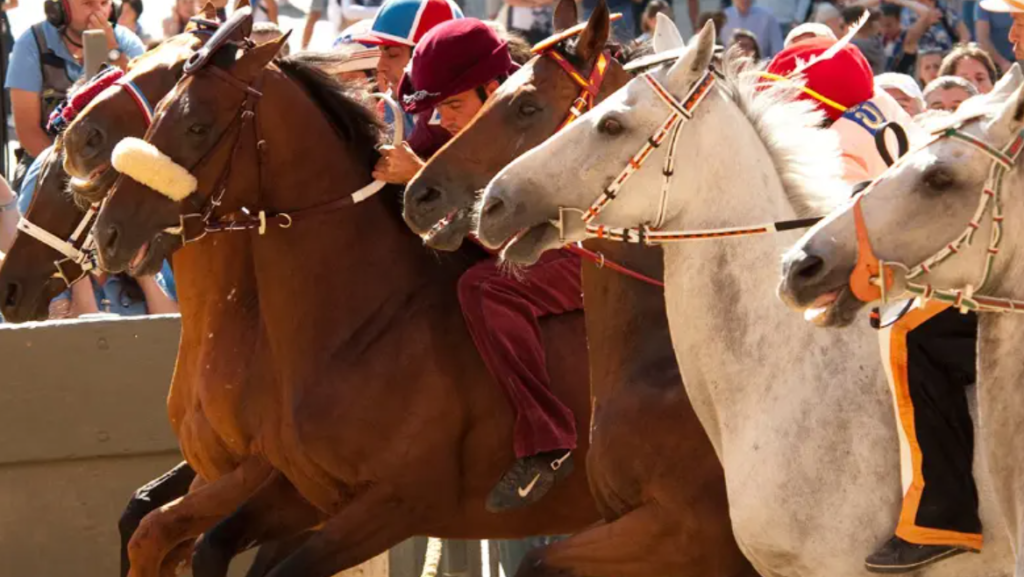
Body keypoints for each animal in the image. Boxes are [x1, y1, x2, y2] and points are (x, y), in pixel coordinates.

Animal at [86, 21, 598, 577]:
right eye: (158, 112)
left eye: (197, 126)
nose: (108, 232)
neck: (366, 327)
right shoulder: (306, 488)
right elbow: (175, 533)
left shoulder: (393, 502)